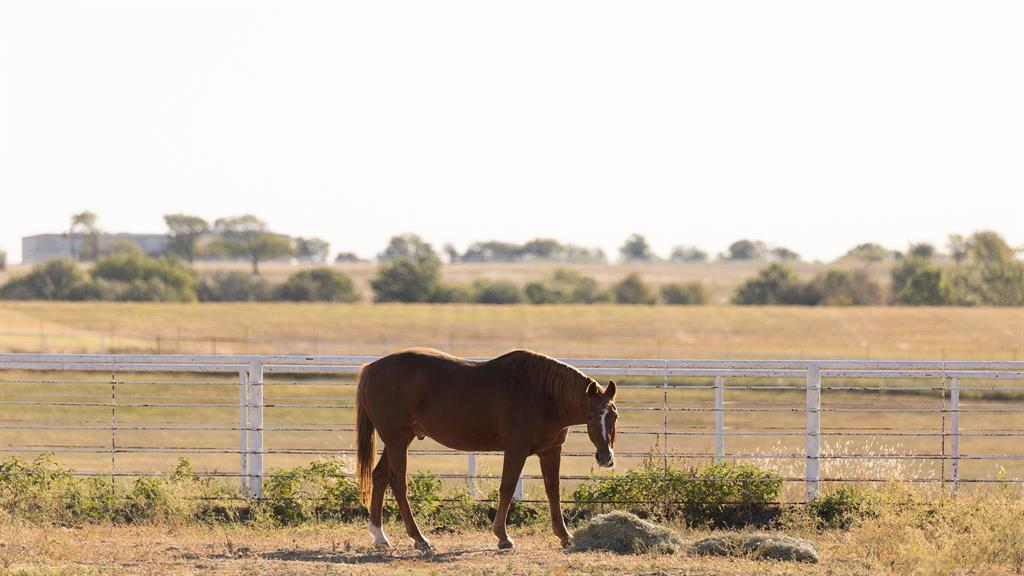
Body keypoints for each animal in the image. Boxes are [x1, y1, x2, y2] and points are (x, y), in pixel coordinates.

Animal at [358, 344, 614, 545]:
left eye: (614, 415)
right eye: (590, 417)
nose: (605, 457)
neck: (543, 394)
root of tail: (372, 369)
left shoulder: (551, 451)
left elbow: (553, 490)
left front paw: (564, 535)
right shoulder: (516, 449)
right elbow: (507, 487)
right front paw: (503, 536)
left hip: (398, 441)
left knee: (380, 477)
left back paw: (379, 535)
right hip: (397, 442)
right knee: (398, 483)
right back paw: (419, 539)